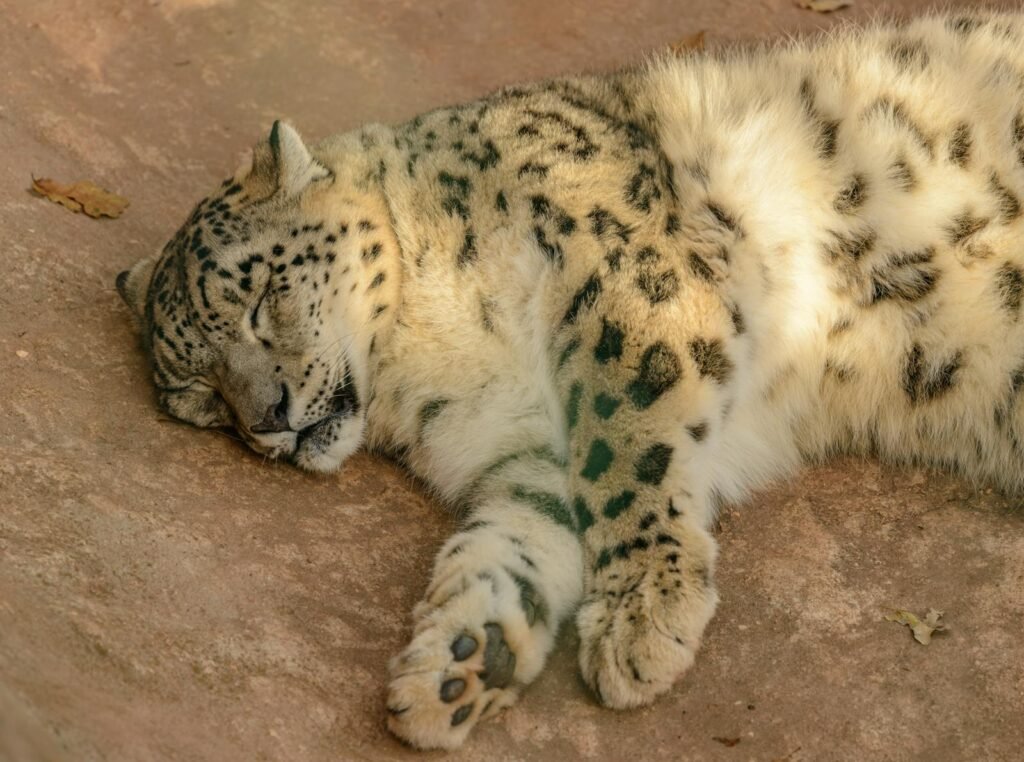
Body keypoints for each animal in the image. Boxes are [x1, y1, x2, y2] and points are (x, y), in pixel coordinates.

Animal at [116, 10, 1024, 750]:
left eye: (260, 299)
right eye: (200, 397)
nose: (267, 417)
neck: (422, 364)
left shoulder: (622, 274)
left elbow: (626, 446)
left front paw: (641, 621)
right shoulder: (522, 448)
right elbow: (510, 542)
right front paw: (461, 661)